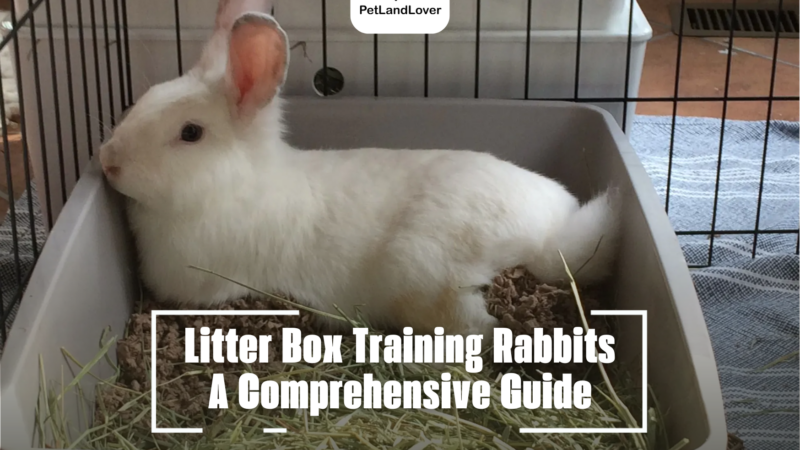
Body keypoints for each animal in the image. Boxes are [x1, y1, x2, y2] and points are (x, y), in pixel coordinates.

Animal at [98, 0, 621, 344]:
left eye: (190, 133)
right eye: (144, 99)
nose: (108, 161)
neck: (232, 189)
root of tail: (550, 237)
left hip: (425, 276)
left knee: (480, 328)